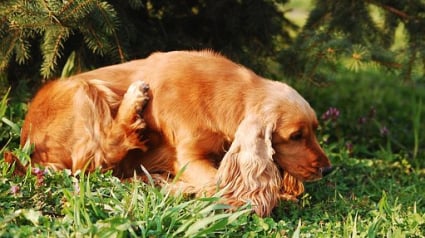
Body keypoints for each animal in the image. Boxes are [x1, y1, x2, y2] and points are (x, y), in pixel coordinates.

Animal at [13, 49, 332, 216]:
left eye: (314, 130)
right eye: (295, 136)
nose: (327, 169)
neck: (225, 95)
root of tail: (28, 146)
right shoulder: (188, 157)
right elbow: (217, 185)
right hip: (85, 90)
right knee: (98, 157)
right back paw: (135, 99)